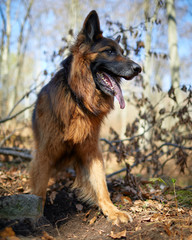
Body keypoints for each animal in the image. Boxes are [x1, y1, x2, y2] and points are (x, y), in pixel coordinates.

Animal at [30, 10, 141, 224]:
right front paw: (36, 218)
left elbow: (101, 184)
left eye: (122, 52)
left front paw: (111, 210)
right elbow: (39, 189)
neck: (78, 99)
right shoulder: (44, 153)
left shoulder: (91, 150)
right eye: (109, 51)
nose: (138, 69)